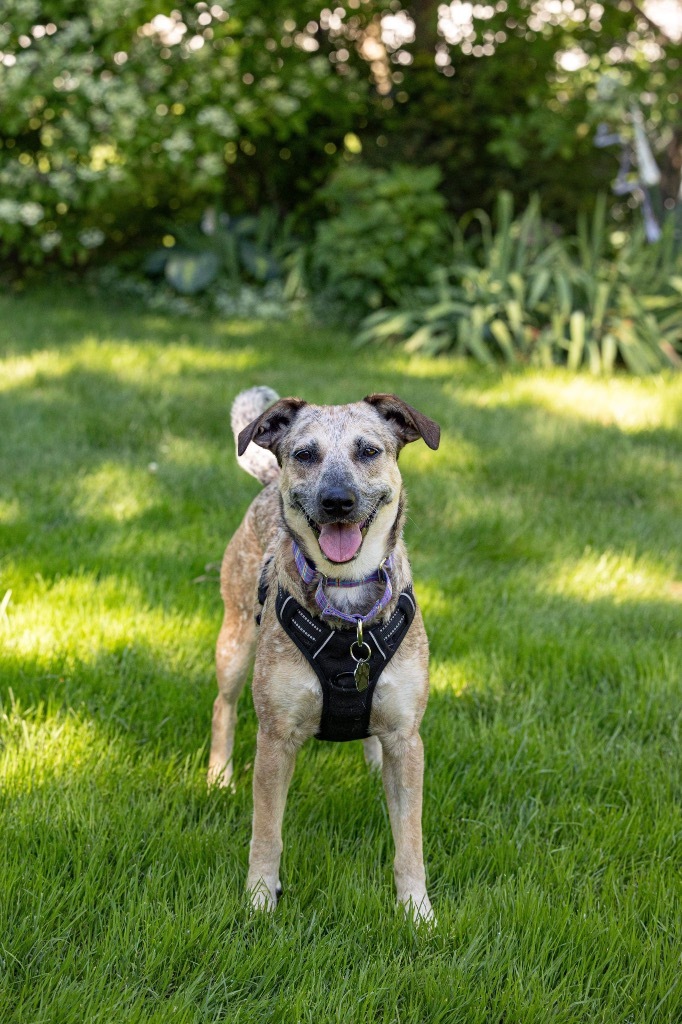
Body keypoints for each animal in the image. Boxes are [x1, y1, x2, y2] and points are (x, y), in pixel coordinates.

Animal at [206, 385, 438, 921]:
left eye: (369, 451)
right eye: (304, 455)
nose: (337, 501)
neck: (348, 601)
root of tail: (268, 482)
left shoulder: (406, 738)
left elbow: (410, 840)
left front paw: (417, 912)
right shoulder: (276, 737)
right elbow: (266, 833)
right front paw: (258, 899)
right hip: (234, 641)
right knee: (222, 705)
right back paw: (218, 777)